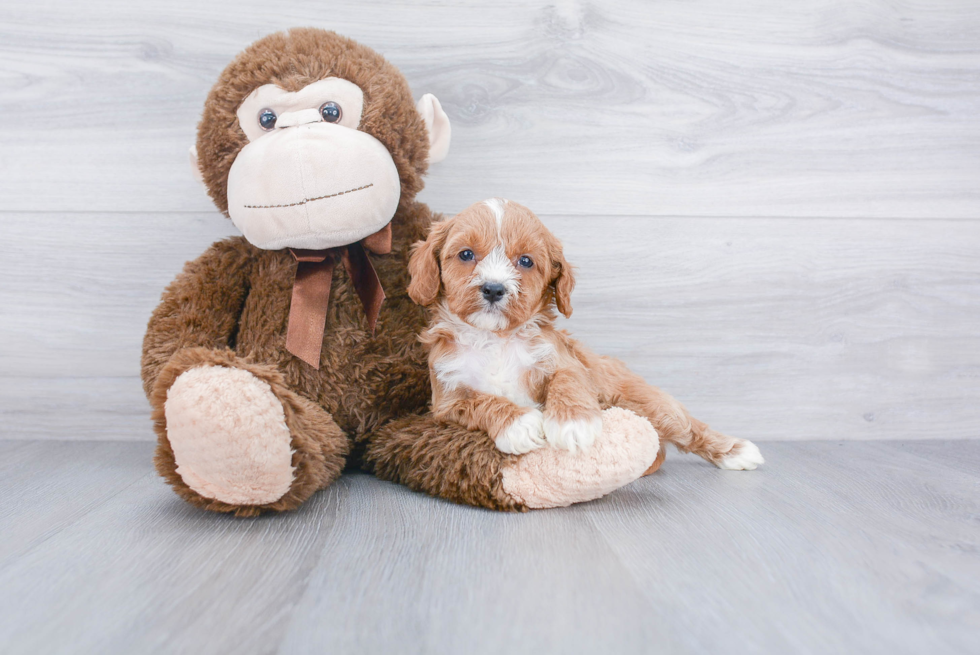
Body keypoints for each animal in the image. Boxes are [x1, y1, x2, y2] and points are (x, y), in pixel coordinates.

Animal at [406, 200, 764, 472]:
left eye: (526, 261)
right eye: (466, 254)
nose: (493, 289)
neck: (495, 338)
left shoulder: (566, 361)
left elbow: (568, 381)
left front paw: (573, 424)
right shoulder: (446, 401)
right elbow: (481, 401)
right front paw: (519, 424)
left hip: (647, 403)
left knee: (688, 427)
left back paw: (736, 451)